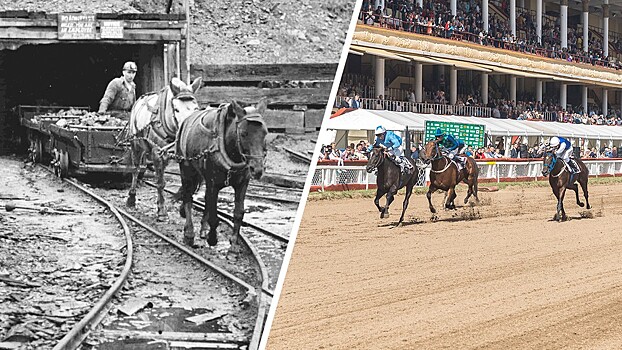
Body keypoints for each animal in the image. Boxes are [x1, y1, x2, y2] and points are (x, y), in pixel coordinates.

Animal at [125, 77, 204, 220]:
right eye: (176, 109)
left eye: (196, 108)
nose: (188, 133)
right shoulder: (157, 153)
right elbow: (160, 183)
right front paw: (162, 211)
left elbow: (187, 183)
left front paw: (183, 209)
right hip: (136, 145)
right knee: (136, 170)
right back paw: (131, 199)